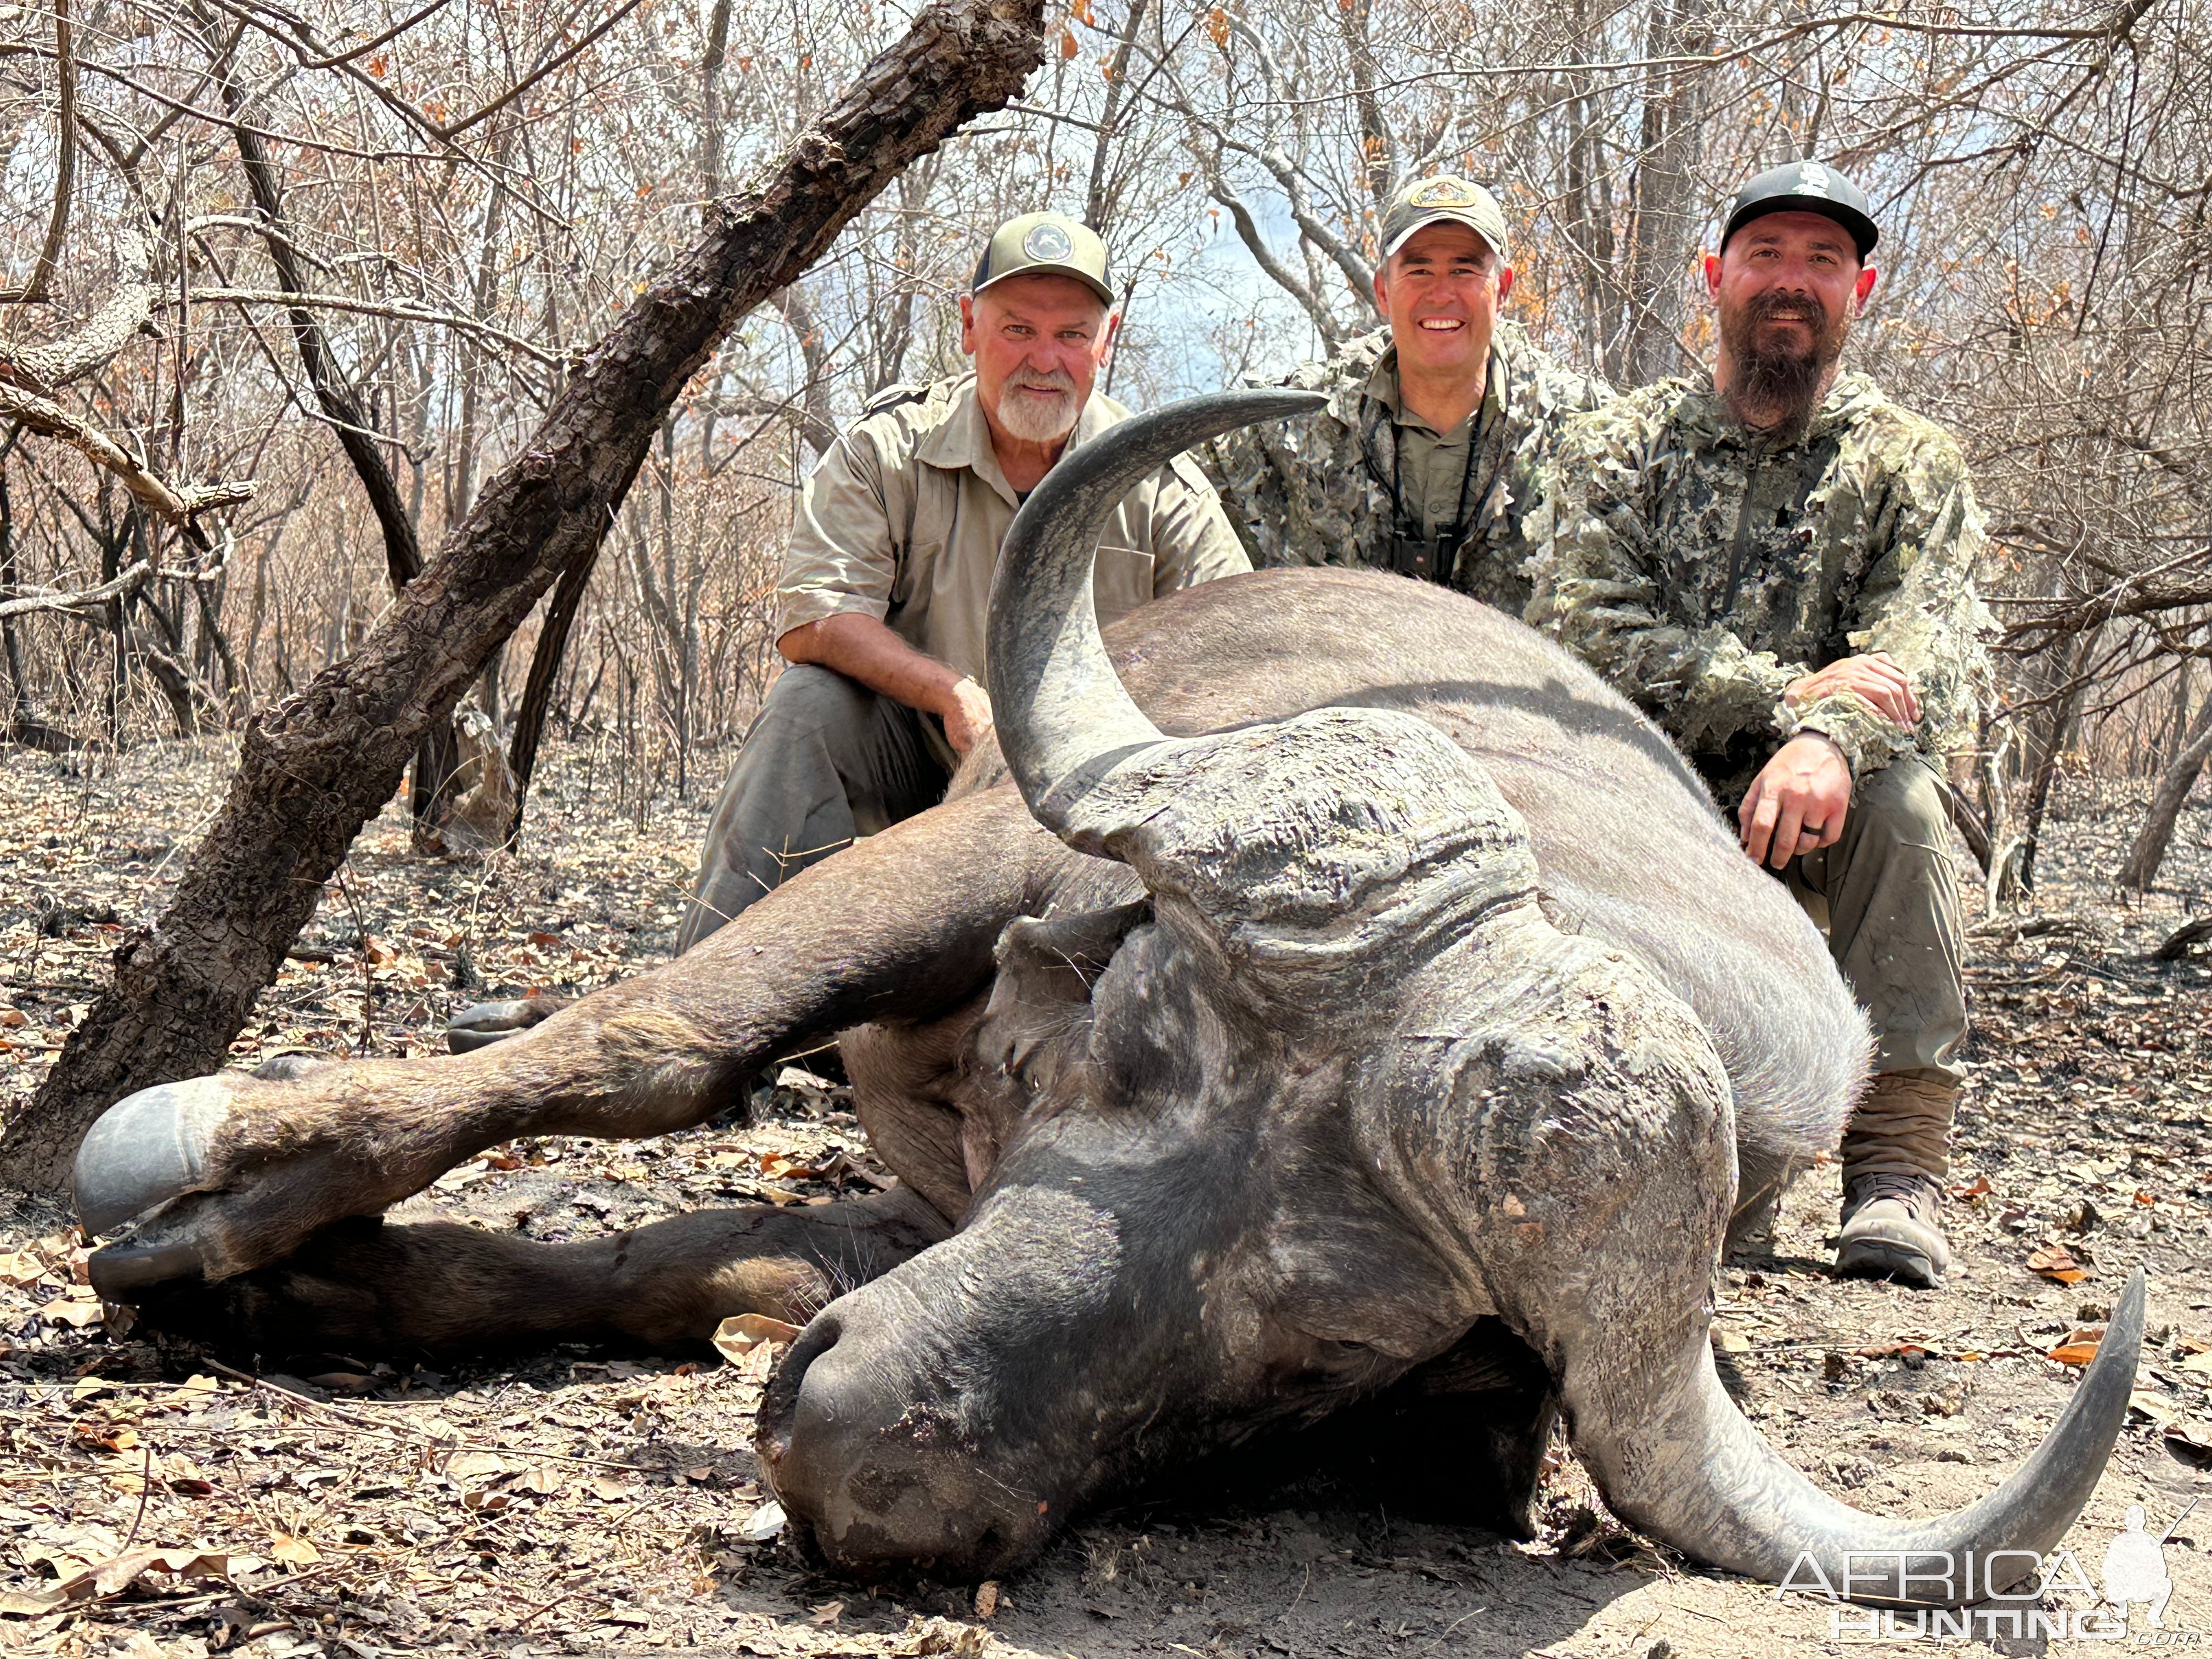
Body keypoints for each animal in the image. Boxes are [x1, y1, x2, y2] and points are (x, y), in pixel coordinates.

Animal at [78, 393, 2132, 1610]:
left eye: (1319, 1346)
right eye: (1139, 1055)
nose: (866, 1456)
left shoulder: (925, 1227)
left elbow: (683, 1254)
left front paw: (320, 1285)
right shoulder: (957, 866)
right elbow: (651, 1045)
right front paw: (218, 1176)